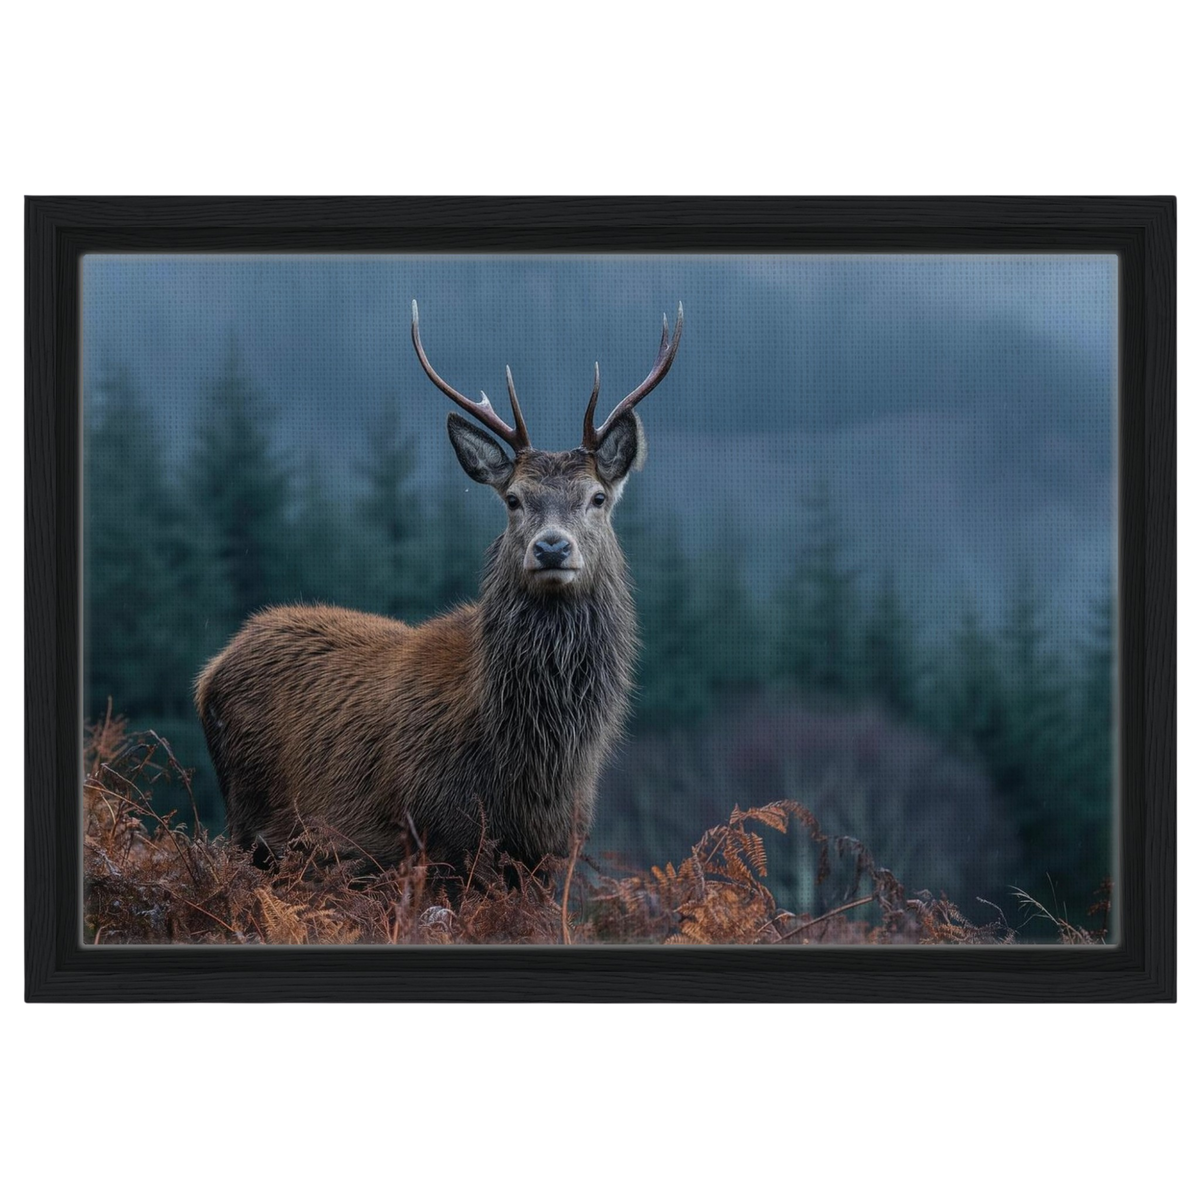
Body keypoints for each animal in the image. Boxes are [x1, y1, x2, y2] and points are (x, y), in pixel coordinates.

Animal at [194, 300, 683, 884]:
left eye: (597, 497)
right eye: (514, 499)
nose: (551, 547)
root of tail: (210, 671)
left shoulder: (554, 854)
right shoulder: (438, 841)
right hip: (250, 823)